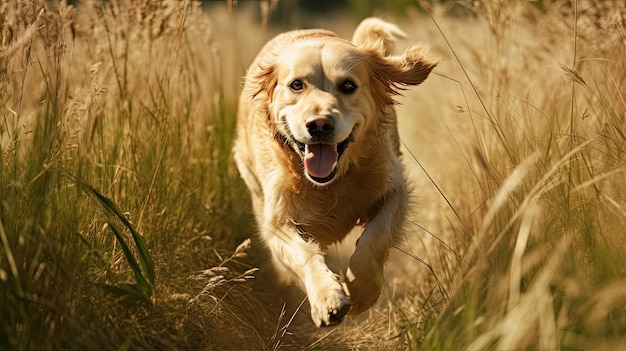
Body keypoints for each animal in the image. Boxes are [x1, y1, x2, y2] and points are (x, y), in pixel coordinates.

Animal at [232, 18, 436, 328]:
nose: (319, 124)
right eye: (296, 85)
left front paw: (361, 289)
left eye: (348, 85)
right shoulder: (276, 220)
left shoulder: (394, 188)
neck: (330, 184)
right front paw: (328, 299)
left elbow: (376, 237)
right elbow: (305, 254)